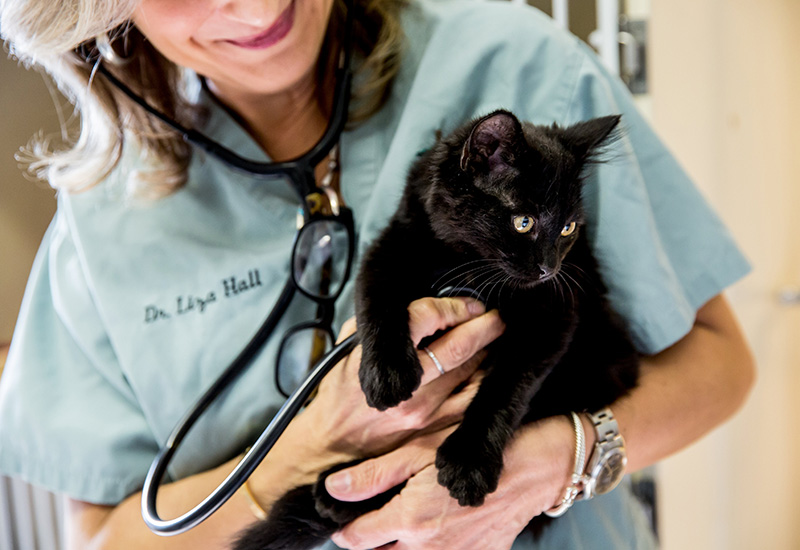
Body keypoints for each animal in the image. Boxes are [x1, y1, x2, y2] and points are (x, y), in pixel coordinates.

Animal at [231, 111, 636, 550]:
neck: (464, 261)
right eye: (523, 222)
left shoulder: (554, 313)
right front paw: (386, 372)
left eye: (567, 229)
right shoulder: (391, 246)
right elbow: (375, 301)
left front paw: (469, 461)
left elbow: (508, 386)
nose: (549, 268)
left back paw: (334, 495)